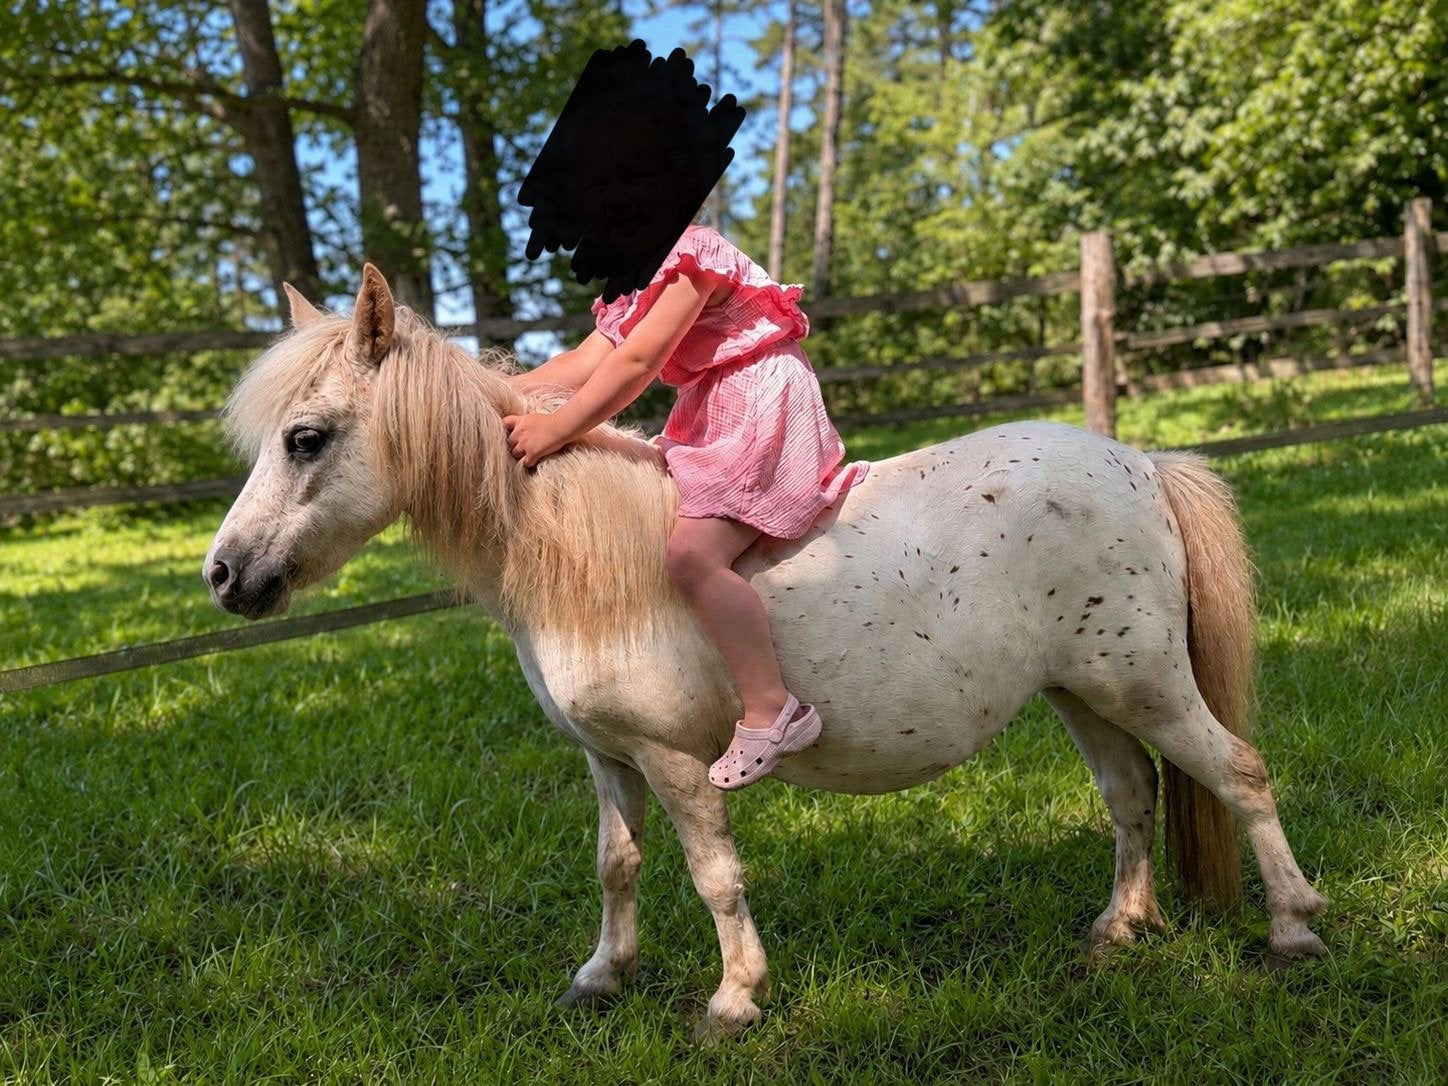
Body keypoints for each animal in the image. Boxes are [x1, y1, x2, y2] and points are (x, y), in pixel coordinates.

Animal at [205, 266, 1327, 1040]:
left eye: (306, 438)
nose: (223, 575)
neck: (570, 553)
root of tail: (1140, 462)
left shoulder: (671, 761)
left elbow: (714, 875)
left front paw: (734, 999)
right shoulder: (607, 759)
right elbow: (616, 866)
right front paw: (601, 977)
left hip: (1145, 683)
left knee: (1238, 772)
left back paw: (1294, 930)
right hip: (1083, 693)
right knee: (1132, 797)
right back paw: (1118, 929)